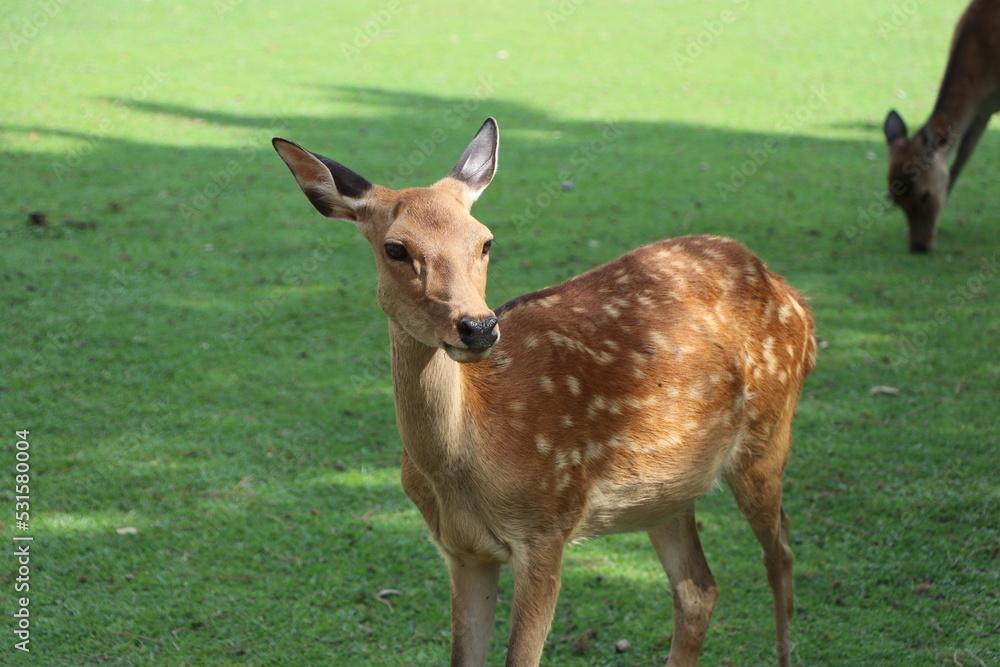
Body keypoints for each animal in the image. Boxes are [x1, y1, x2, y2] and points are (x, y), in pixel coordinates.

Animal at [270, 117, 816, 664]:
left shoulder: (547, 529)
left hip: (768, 438)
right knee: (698, 590)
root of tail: (795, 298)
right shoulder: (461, 550)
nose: (478, 327)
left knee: (782, 551)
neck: (466, 464)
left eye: (485, 241)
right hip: (666, 492)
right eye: (395, 248)